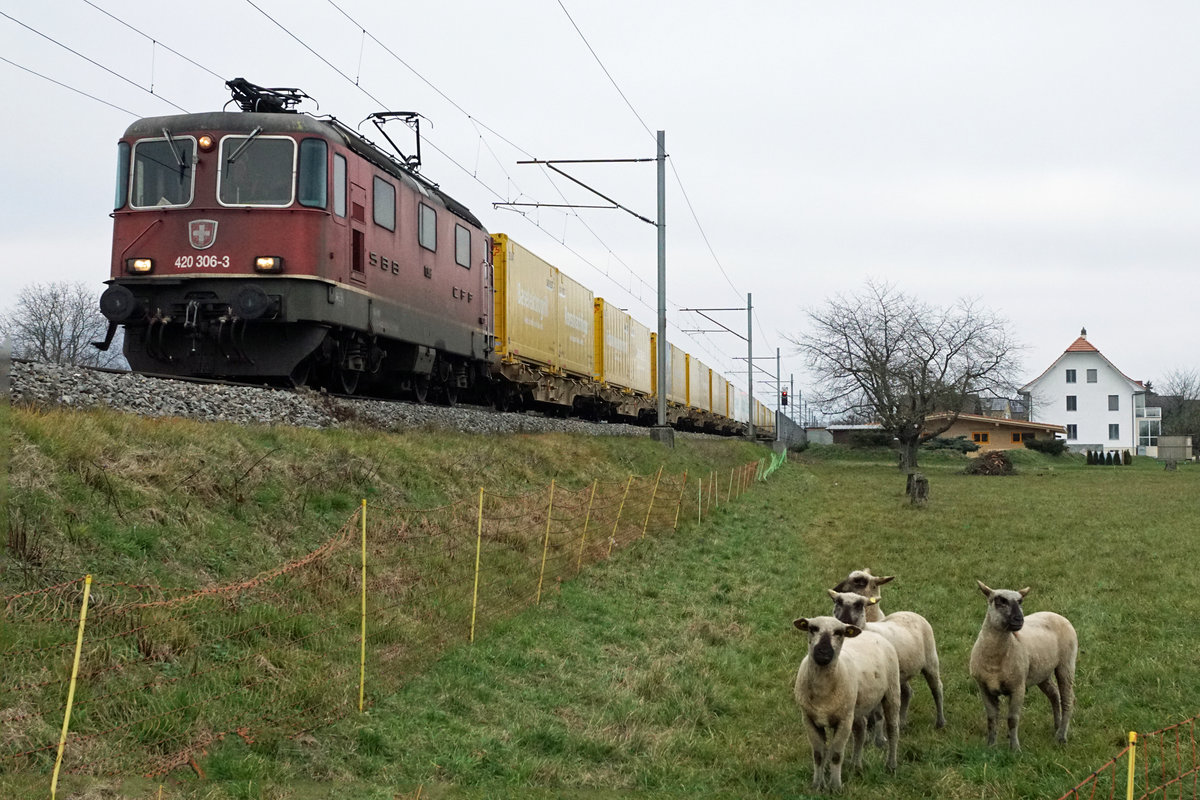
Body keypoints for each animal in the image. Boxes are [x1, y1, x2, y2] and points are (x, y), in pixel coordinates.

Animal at [792, 615, 901, 792]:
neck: (823, 691)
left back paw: (891, 765)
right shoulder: (809, 719)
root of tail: (869, 633)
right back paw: (856, 765)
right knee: (861, 730)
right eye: (812, 628)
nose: (823, 652)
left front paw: (835, 787)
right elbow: (818, 754)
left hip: (891, 692)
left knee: (893, 730)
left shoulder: (843, 720)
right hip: (855, 708)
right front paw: (817, 785)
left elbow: (836, 754)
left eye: (839, 632)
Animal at [828, 589, 947, 730]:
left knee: (937, 688)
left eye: (859, 605)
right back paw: (902, 722)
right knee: (907, 692)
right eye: (838, 602)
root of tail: (910, 612)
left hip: (930, 660)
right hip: (899, 673)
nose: (844, 622)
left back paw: (940, 722)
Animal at [968, 581, 1078, 751]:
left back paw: (1061, 736)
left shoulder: (1018, 687)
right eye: (1000, 601)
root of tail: (1056, 614)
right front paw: (991, 746)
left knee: (1068, 699)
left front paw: (1015, 748)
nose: (1019, 619)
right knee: (1054, 694)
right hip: (1042, 672)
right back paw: (1057, 725)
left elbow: (1012, 719)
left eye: (1020, 601)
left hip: (1066, 664)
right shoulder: (984, 687)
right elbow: (991, 718)